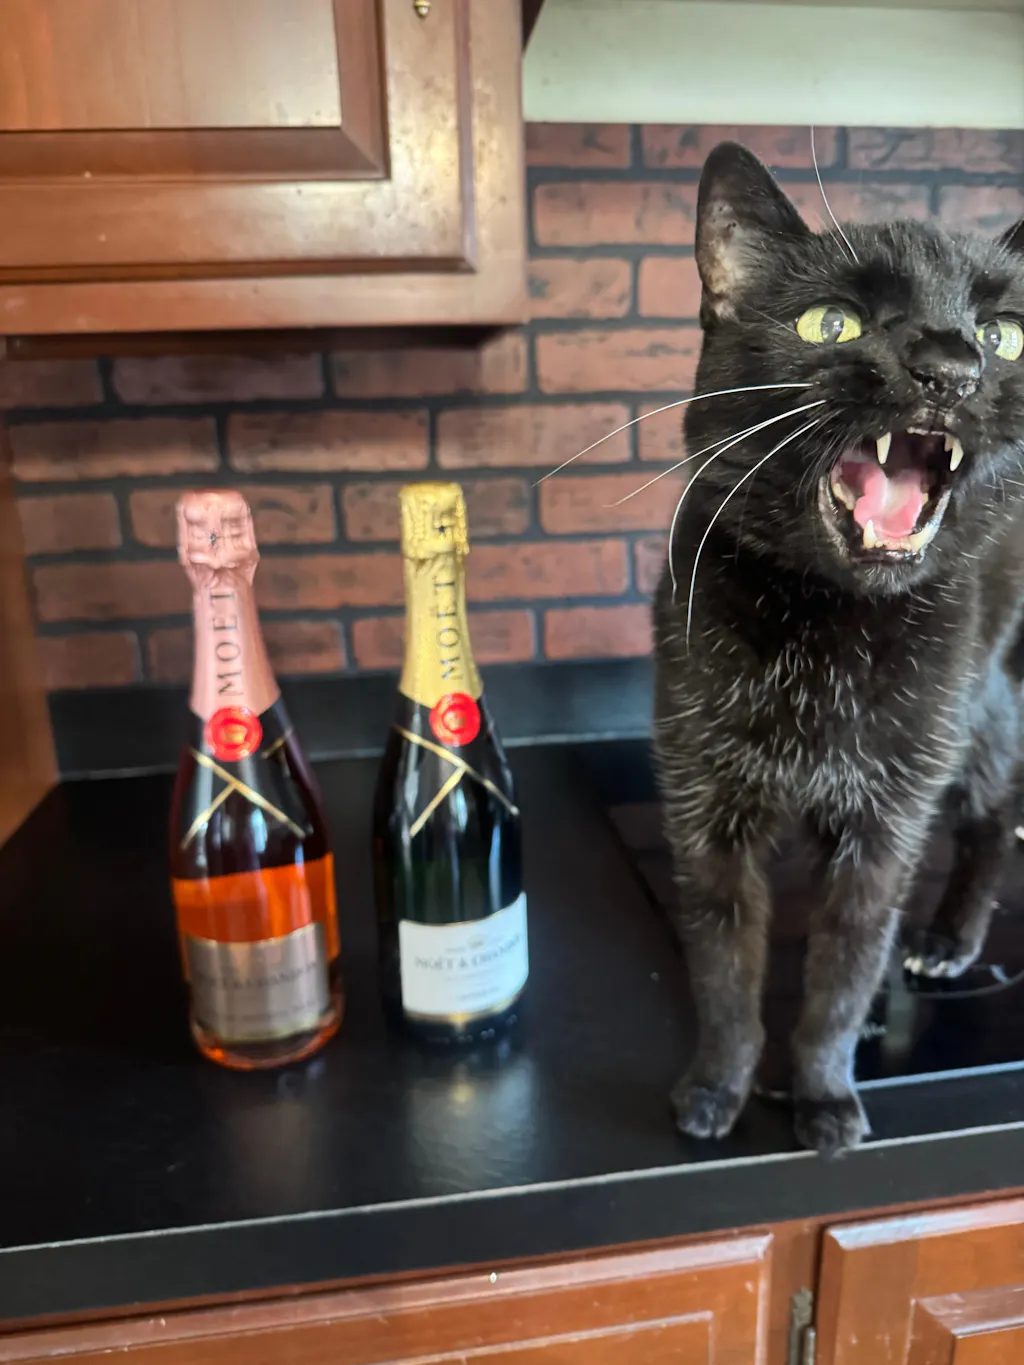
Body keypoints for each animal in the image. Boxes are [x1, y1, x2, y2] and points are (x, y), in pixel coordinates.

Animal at [652, 142, 1024, 1157]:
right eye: (834, 322)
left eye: (1006, 335)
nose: (951, 366)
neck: (829, 627)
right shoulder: (705, 811)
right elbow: (725, 974)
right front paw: (717, 1088)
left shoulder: (886, 824)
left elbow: (841, 975)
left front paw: (822, 1095)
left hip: (981, 712)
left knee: (991, 820)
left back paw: (948, 940)